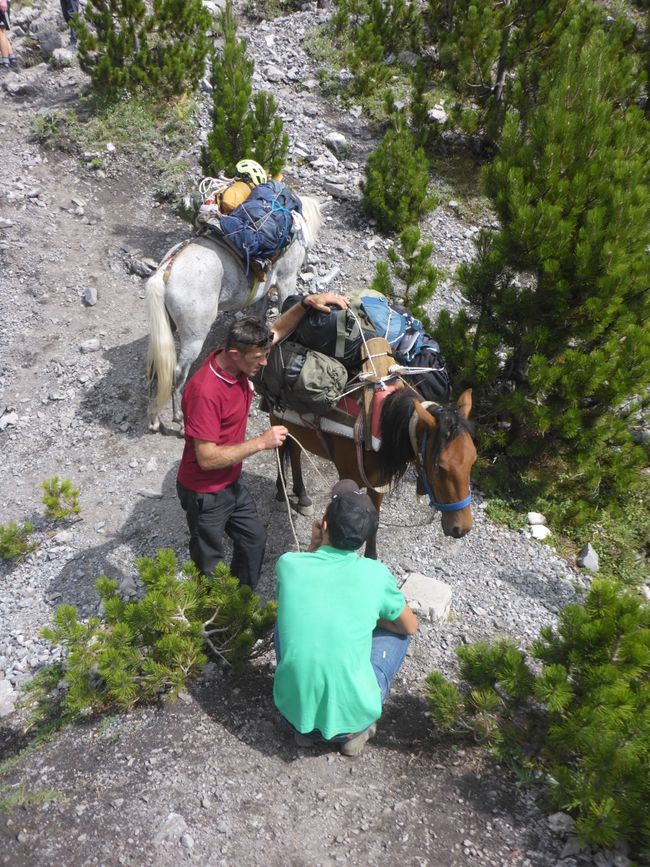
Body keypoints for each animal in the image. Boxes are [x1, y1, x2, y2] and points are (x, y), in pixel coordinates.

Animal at [146, 195, 320, 428]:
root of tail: (166, 271)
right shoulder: (287, 281)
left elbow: (261, 309)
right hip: (194, 337)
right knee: (178, 373)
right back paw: (179, 419)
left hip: (167, 327)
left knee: (158, 367)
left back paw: (154, 419)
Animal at [270, 390, 474, 560]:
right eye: (440, 467)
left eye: (473, 459)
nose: (462, 528)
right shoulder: (347, 480)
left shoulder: (378, 485)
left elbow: (375, 519)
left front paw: (371, 557)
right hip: (277, 420)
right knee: (281, 450)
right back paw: (281, 494)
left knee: (295, 451)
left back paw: (302, 496)